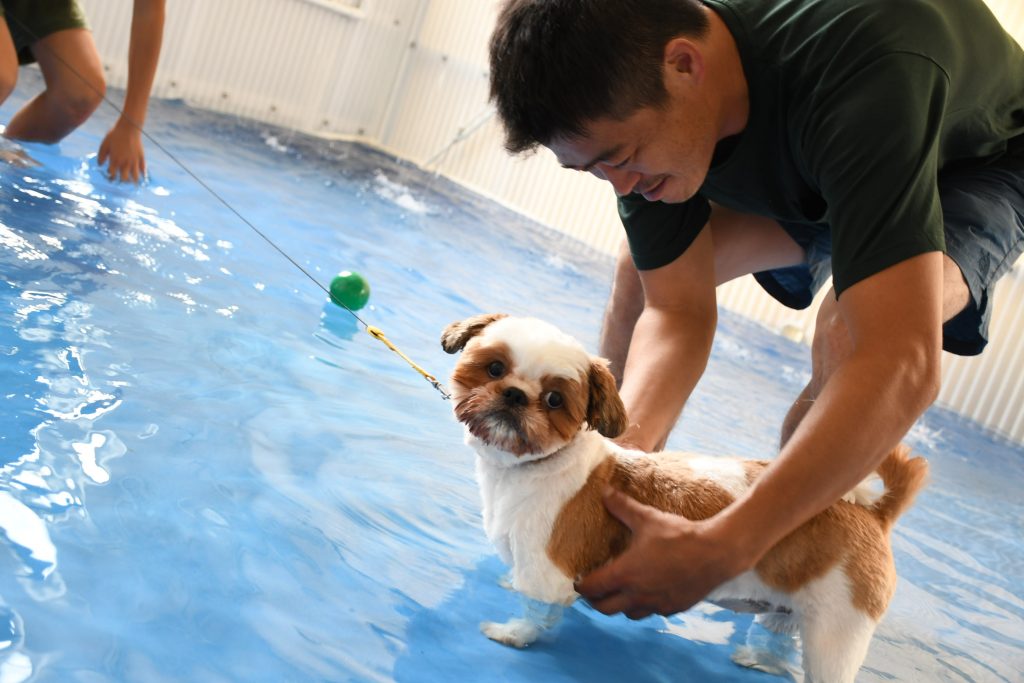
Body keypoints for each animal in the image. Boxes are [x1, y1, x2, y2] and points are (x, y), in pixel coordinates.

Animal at [440, 313, 929, 683]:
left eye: (555, 399)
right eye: (495, 368)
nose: (514, 395)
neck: (532, 467)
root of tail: (875, 514)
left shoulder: (549, 570)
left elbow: (536, 609)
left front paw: (512, 632)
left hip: (836, 632)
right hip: (795, 604)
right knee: (780, 633)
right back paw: (761, 659)